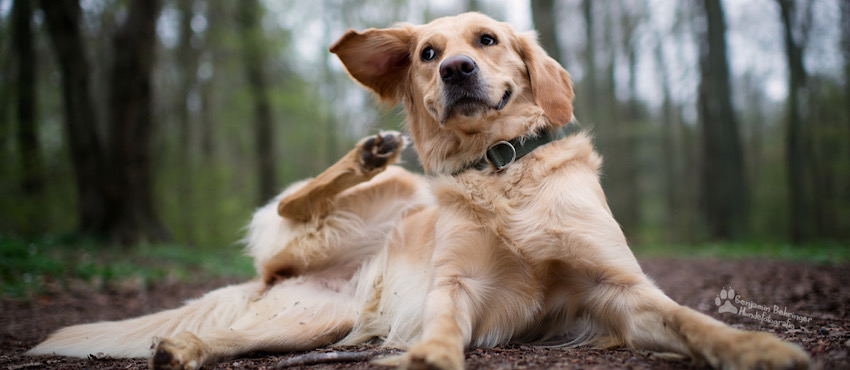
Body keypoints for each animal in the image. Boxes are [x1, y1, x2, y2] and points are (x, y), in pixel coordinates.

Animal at [28, 12, 808, 370]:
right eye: (428, 54)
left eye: (488, 40)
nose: (457, 69)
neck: (500, 170)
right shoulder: (455, 284)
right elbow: (440, 322)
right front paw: (429, 355)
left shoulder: (621, 290)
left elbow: (691, 320)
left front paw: (755, 346)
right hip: (382, 203)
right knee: (292, 204)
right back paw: (366, 154)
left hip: (308, 321)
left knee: (223, 334)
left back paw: (182, 347)